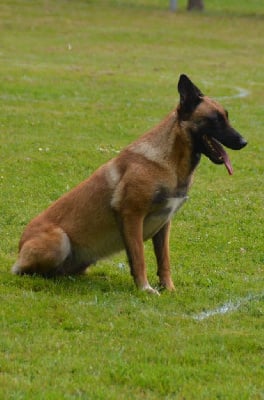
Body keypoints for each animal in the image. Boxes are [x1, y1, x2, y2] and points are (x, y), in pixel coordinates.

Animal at [12, 74, 248, 294]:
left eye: (227, 117)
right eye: (215, 120)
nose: (244, 142)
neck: (169, 161)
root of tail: (20, 247)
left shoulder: (164, 224)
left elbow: (164, 260)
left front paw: (168, 288)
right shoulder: (132, 215)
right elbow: (139, 258)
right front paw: (145, 288)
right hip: (60, 240)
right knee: (27, 271)